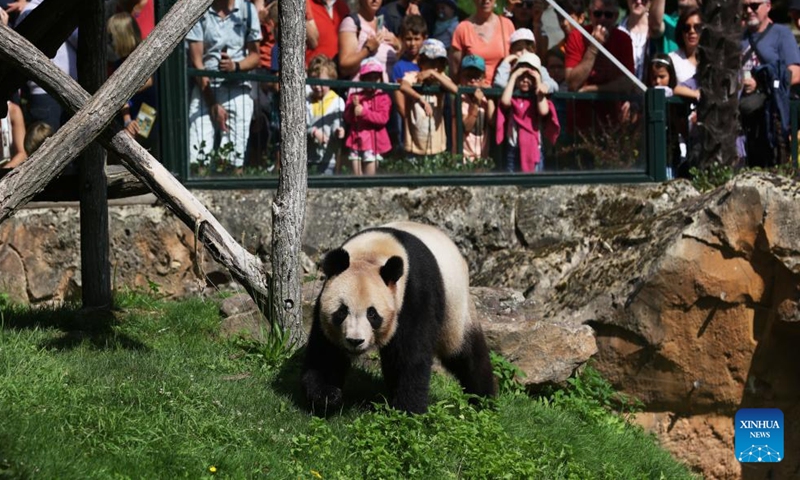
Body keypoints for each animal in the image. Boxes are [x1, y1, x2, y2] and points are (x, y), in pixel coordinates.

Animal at [302, 221, 496, 415]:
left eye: (372, 314)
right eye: (342, 311)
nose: (355, 341)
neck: (371, 252)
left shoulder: (414, 293)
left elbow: (410, 355)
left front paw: (408, 410)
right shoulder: (325, 303)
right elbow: (326, 350)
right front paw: (327, 397)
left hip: (455, 306)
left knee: (465, 353)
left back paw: (484, 399)